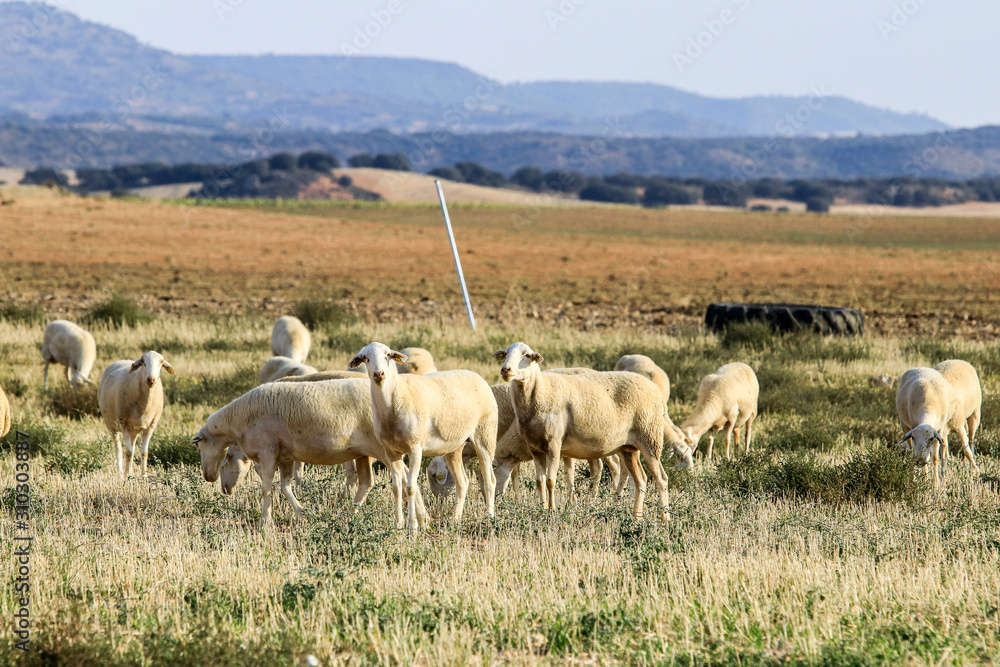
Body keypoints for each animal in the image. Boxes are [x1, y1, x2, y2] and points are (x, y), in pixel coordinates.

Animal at [98, 350, 176, 480]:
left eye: (161, 363)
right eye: (143, 362)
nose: (151, 379)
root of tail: (121, 360)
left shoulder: (151, 426)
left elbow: (144, 452)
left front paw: (144, 477)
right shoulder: (123, 424)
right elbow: (128, 452)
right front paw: (127, 477)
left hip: (133, 431)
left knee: (132, 447)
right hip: (111, 425)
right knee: (118, 449)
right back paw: (121, 475)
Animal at [195, 378, 426, 528]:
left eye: (226, 458)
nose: (208, 477)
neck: (238, 422)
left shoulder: (267, 453)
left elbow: (266, 489)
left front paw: (264, 522)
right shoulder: (285, 457)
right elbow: (285, 487)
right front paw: (301, 512)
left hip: (382, 447)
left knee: (402, 476)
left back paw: (410, 521)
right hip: (363, 452)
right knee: (368, 482)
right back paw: (352, 516)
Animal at [350, 342, 498, 536]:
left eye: (388, 355)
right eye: (365, 358)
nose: (379, 374)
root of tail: (477, 376)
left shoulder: (415, 448)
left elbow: (410, 487)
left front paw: (412, 527)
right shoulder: (391, 451)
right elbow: (397, 488)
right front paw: (397, 525)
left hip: (485, 435)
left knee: (490, 481)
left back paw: (489, 519)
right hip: (454, 446)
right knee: (463, 483)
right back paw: (455, 520)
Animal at [494, 344, 672, 520]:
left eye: (527, 355)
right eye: (506, 353)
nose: (506, 369)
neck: (541, 391)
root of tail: (656, 390)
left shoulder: (554, 445)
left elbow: (551, 480)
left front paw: (552, 510)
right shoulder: (535, 449)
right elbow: (540, 482)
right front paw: (542, 509)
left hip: (650, 438)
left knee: (661, 479)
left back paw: (665, 518)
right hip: (629, 448)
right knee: (641, 480)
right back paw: (637, 518)